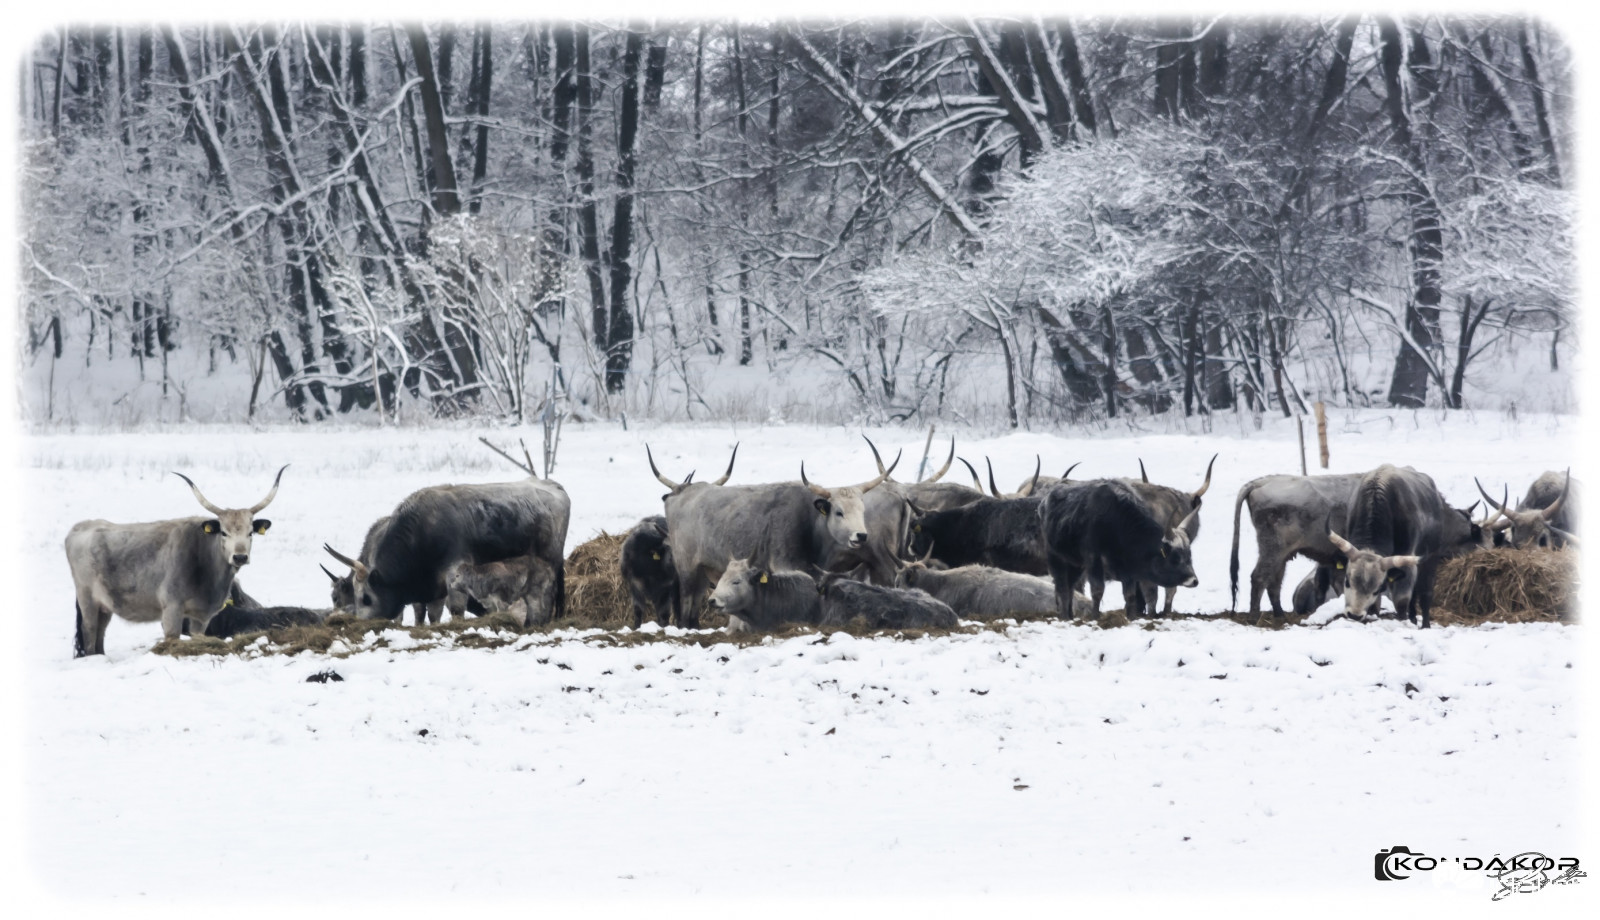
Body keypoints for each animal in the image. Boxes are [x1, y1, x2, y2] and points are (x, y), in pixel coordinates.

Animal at [64, 467, 291, 656]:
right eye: (224, 533)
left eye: (250, 532)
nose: (240, 556)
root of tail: (79, 527)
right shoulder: (172, 609)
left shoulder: (201, 616)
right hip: (87, 599)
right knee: (90, 630)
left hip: (104, 605)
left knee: (101, 631)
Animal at [656, 448, 896, 633]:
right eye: (839, 512)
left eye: (862, 510)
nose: (861, 535)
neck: (809, 522)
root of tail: (682, 492)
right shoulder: (786, 566)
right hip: (687, 568)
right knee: (686, 603)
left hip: (702, 572)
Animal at [1036, 480, 1203, 624]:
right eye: (1174, 558)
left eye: (1189, 556)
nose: (1194, 580)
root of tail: (1045, 501)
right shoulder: (1093, 560)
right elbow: (1097, 590)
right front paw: (1095, 617)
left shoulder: (1127, 569)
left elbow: (1130, 595)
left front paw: (1131, 617)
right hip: (1056, 559)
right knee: (1062, 588)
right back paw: (1064, 616)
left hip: (1076, 565)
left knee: (1070, 587)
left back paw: (1070, 616)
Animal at [1222, 470, 1363, 624]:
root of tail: (1260, 482)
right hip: (1273, 551)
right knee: (1259, 577)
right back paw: (1253, 618)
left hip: (1281, 556)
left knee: (1274, 583)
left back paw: (1280, 615)